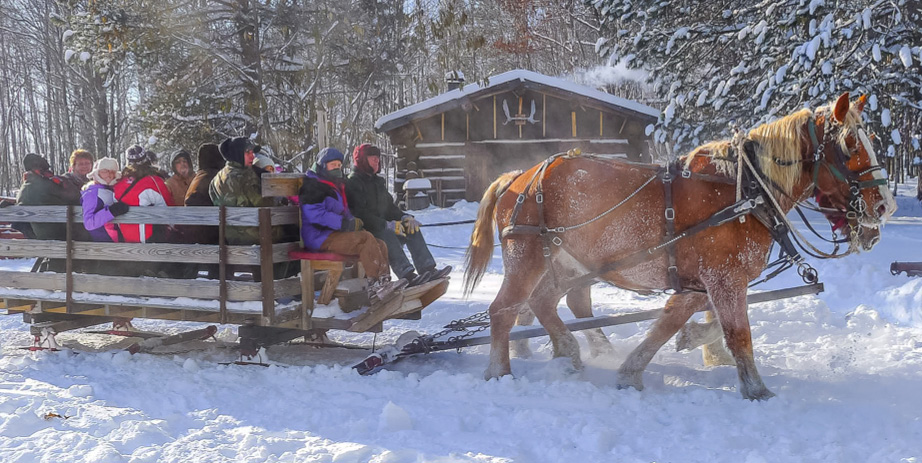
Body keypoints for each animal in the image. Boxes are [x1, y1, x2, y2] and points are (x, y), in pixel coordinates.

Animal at [464, 92, 896, 400]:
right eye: (850, 144)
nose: (885, 207)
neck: (744, 190)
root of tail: (518, 176)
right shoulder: (724, 278)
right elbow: (738, 332)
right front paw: (756, 389)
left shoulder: (700, 282)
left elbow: (671, 322)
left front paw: (637, 369)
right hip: (527, 257)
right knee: (504, 310)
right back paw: (500, 371)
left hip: (569, 263)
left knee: (546, 303)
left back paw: (570, 350)